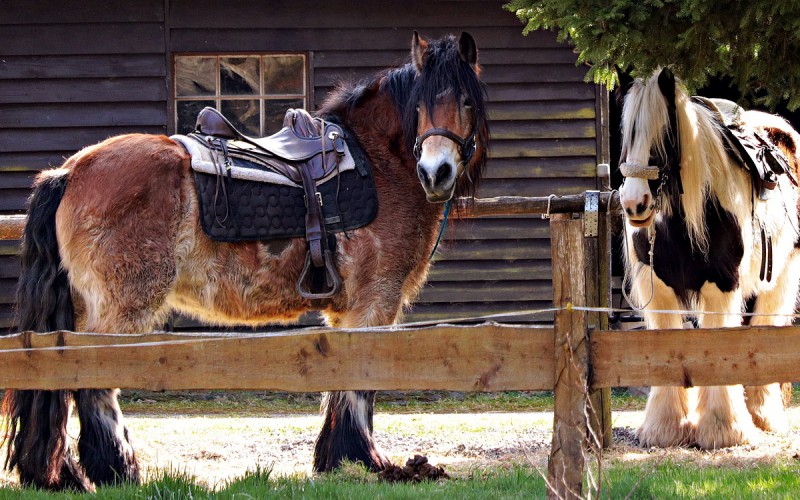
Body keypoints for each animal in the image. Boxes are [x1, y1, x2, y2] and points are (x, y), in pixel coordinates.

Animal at [4, 32, 488, 492]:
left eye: (466, 100)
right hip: (121, 309)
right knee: (93, 380)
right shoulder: (374, 301)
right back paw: (117, 470)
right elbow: (360, 381)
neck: (377, 161)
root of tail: (69, 172)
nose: (436, 173)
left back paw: (63, 474)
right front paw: (363, 460)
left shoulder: (348, 311)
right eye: (421, 105)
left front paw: (335, 460)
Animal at [620, 67, 800, 450]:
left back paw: (761, 415)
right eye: (625, 134)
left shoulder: (721, 284)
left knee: (764, 328)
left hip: (782, 277)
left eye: (663, 135)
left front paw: (722, 428)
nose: (634, 204)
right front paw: (664, 427)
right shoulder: (660, 290)